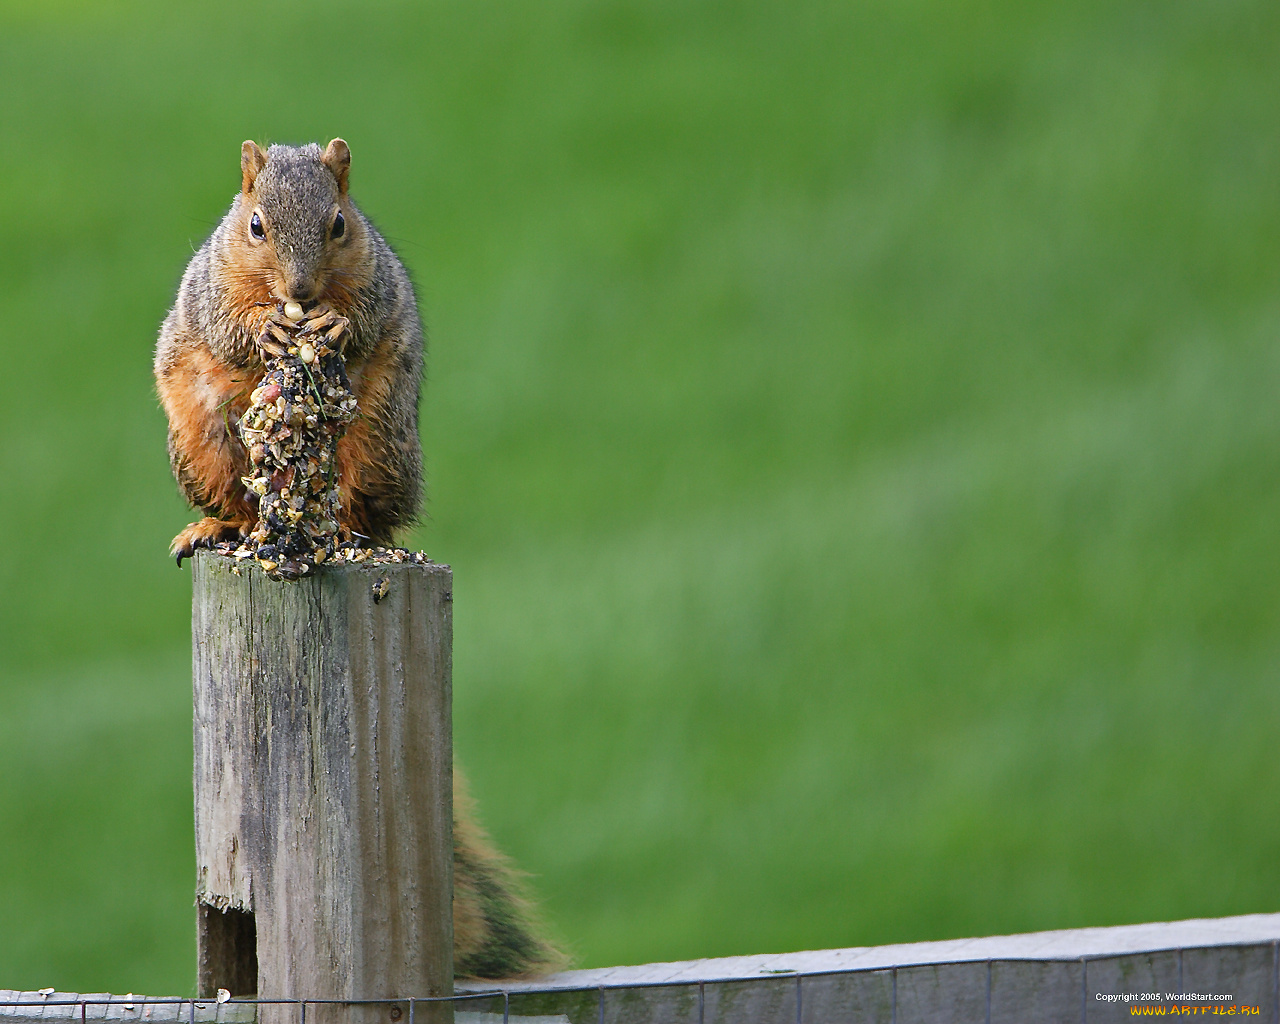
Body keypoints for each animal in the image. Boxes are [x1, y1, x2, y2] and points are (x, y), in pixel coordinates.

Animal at [156, 135, 565, 977]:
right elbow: (233, 324)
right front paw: (270, 329)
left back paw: (354, 534)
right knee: (235, 502)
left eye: (340, 224)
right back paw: (215, 528)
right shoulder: (214, 293)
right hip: (199, 438)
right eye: (253, 226)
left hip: (380, 443)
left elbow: (363, 316)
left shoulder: (373, 282)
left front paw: (334, 325)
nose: (302, 290)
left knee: (364, 507)